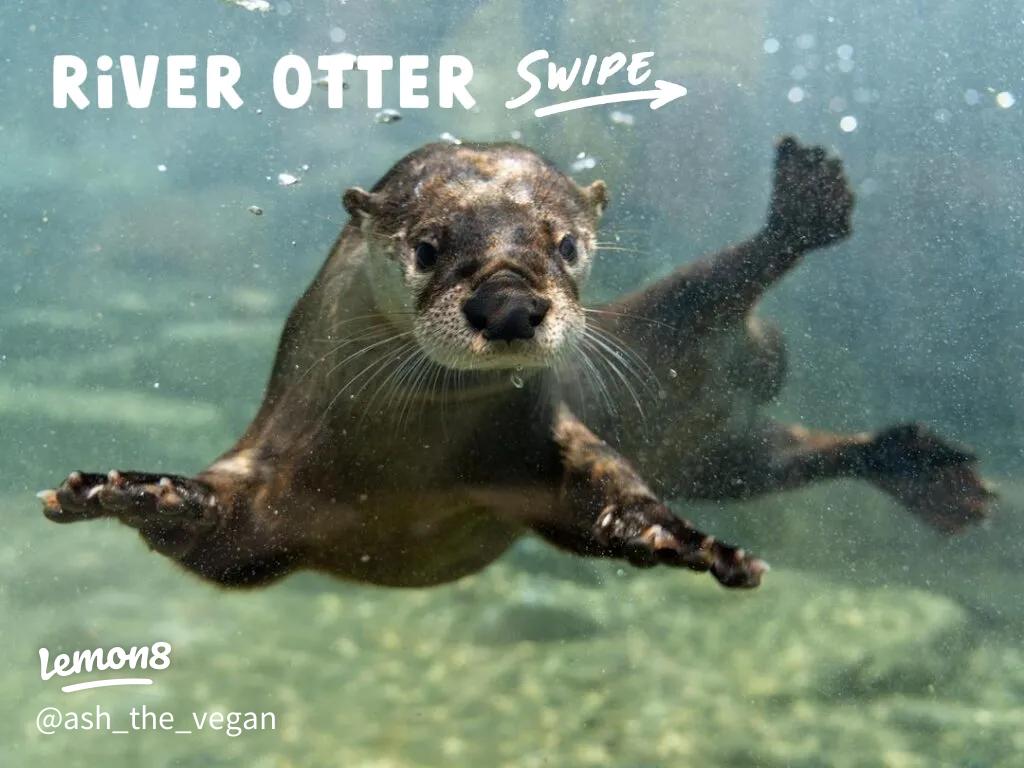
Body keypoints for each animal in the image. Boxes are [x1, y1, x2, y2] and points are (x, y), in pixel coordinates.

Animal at [38, 137, 992, 590]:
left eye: (565, 244)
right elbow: (220, 537)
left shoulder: (542, 439)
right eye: (428, 246)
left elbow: (606, 493)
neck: (401, 459)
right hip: (724, 453)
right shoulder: (271, 488)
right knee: (791, 450)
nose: (508, 304)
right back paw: (926, 468)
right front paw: (132, 490)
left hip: (666, 337)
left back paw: (804, 214)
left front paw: (680, 540)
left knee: (724, 285)